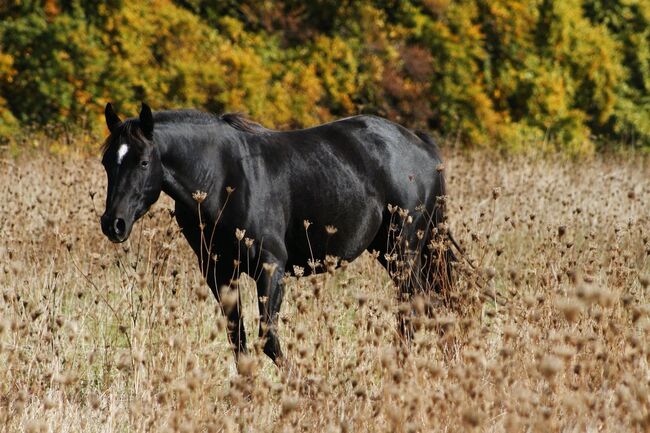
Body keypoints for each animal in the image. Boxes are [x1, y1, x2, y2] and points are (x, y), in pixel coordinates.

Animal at [101, 103, 454, 362]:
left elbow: (268, 338)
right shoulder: (219, 272)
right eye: (107, 162)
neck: (222, 178)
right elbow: (238, 339)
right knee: (431, 303)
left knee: (416, 306)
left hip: (403, 248)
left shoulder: (270, 268)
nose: (113, 223)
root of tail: (419, 143)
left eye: (143, 162)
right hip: (390, 250)